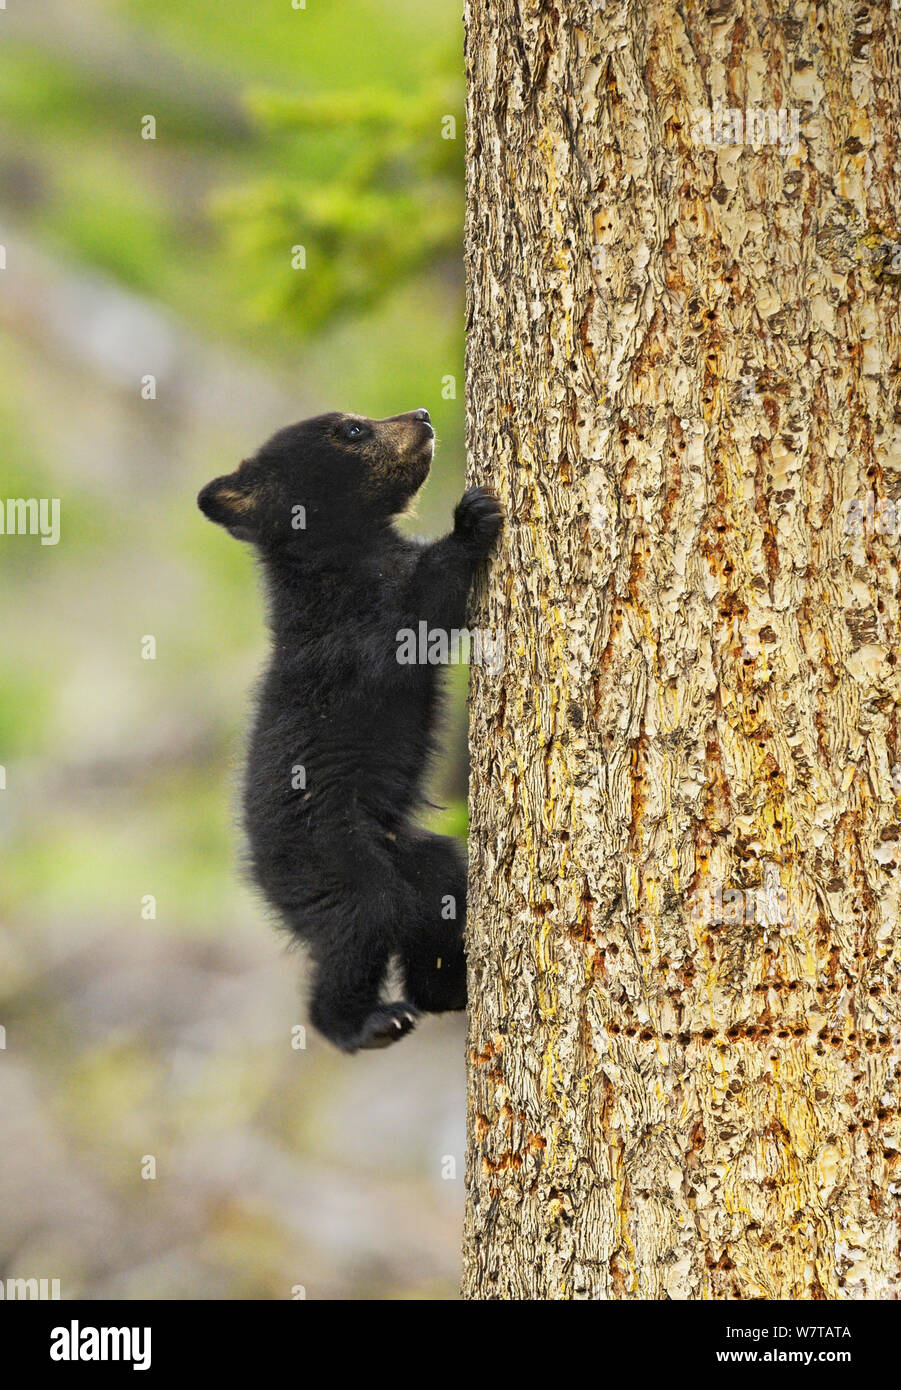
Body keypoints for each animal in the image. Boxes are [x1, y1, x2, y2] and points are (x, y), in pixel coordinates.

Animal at [197, 409, 503, 1051]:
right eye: (352, 431)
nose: (423, 415)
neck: (345, 558)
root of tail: (258, 874)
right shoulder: (348, 637)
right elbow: (414, 620)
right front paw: (470, 521)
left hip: (411, 856)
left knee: (437, 892)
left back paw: (448, 989)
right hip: (331, 861)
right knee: (362, 925)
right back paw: (367, 1023)